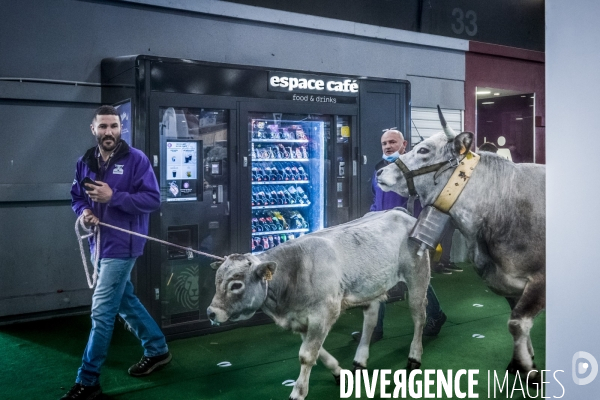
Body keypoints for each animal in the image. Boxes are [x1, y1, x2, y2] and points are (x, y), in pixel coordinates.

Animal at [209, 209, 428, 400]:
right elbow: (316, 351)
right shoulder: (299, 320)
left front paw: (298, 392)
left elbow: (306, 355)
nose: (211, 312)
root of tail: (400, 212)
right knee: (371, 320)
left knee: (419, 316)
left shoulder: (324, 313)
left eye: (236, 285)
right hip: (369, 288)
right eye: (216, 281)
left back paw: (414, 357)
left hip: (417, 277)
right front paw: (338, 371)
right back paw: (360, 360)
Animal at [378, 108, 548, 382]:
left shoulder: (539, 280)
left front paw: (528, 371)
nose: (380, 173)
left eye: (423, 150)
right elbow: (518, 325)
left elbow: (517, 323)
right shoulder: (510, 285)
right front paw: (522, 365)